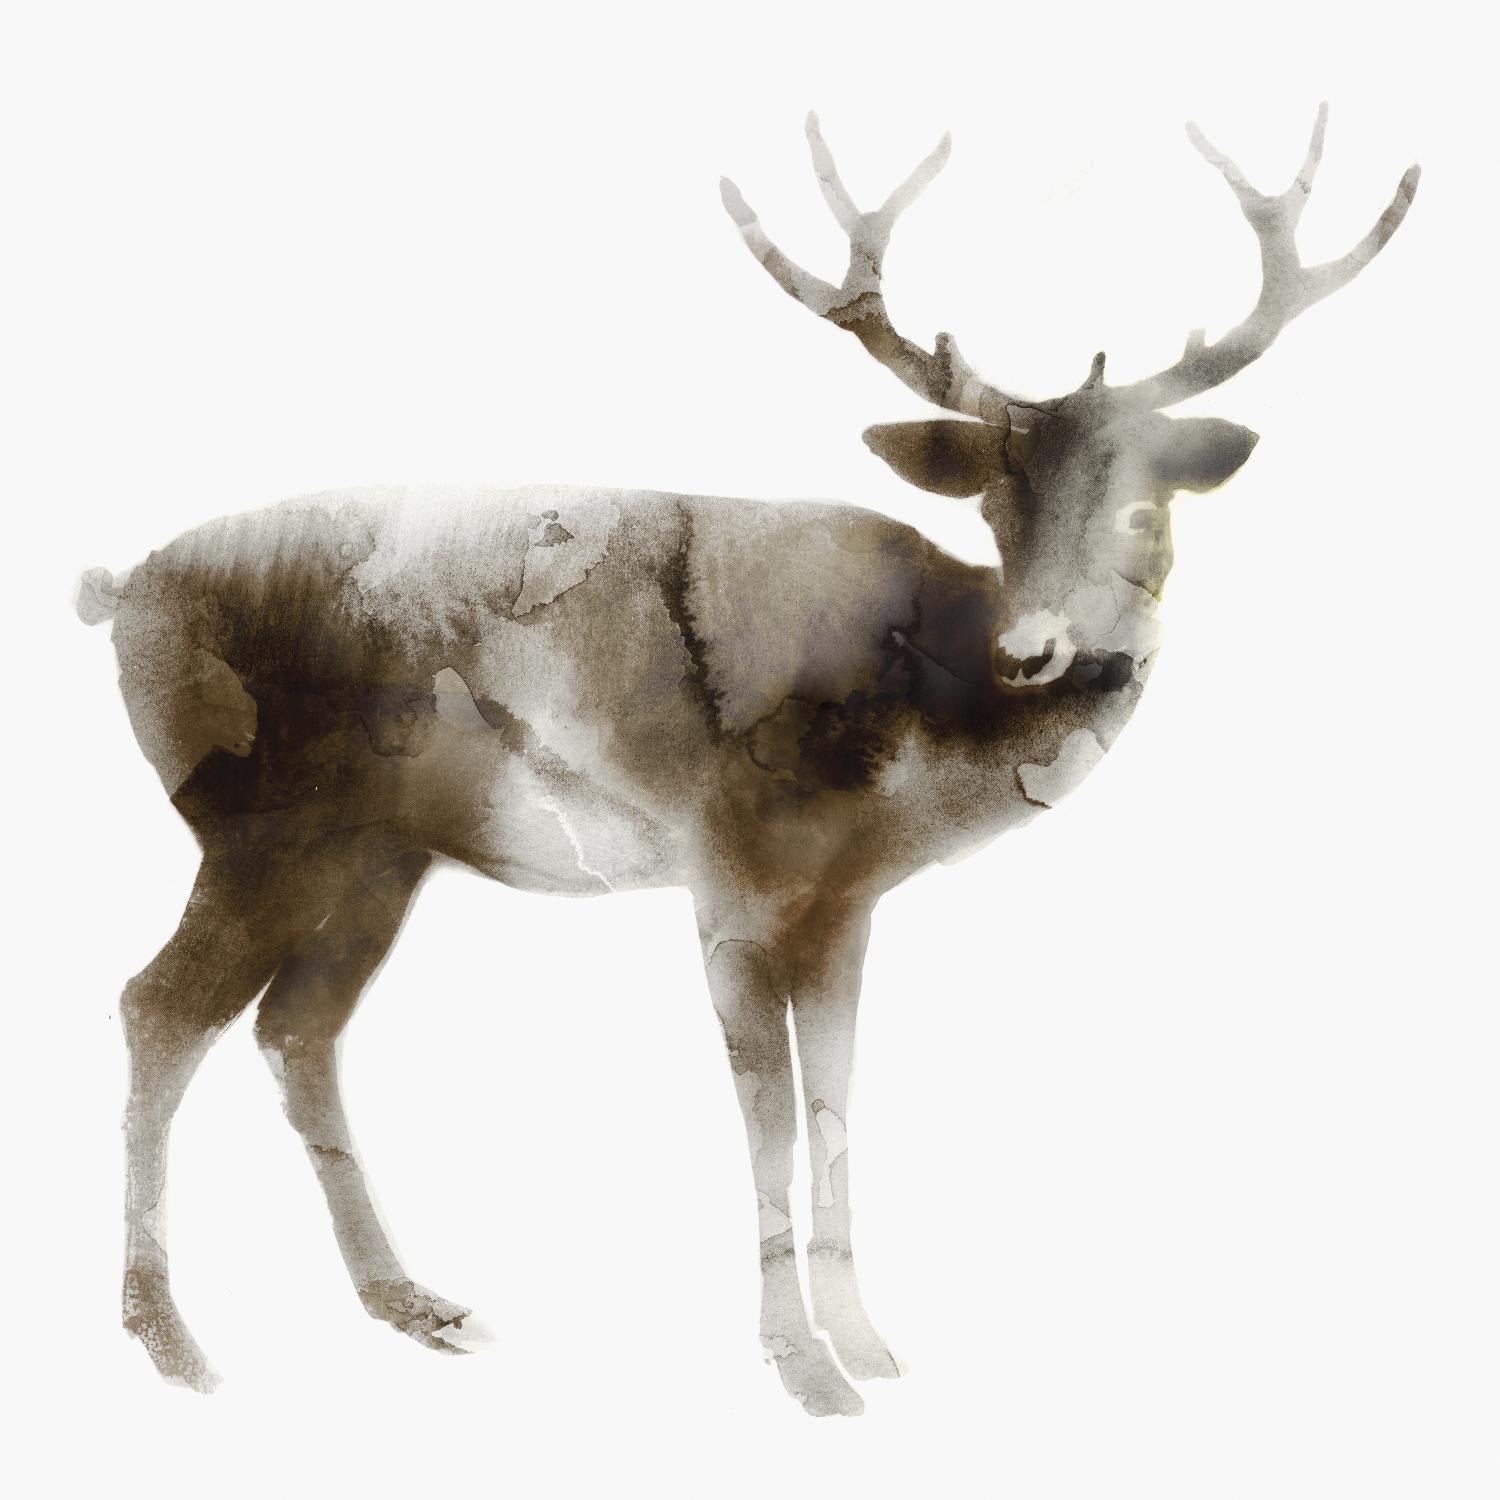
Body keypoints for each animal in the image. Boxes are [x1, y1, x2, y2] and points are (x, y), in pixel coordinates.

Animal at [78, 107, 1418, 1415]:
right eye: (994, 504)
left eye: (1148, 506)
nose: (1037, 649)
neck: (914, 743)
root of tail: (119, 591)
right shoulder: (727, 877)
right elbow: (766, 1115)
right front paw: (802, 1368)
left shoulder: (847, 906)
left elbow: (834, 1101)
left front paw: (869, 1343)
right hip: (255, 826)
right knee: (158, 1007)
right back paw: (170, 1340)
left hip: (376, 854)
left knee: (297, 1029)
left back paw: (410, 1302)